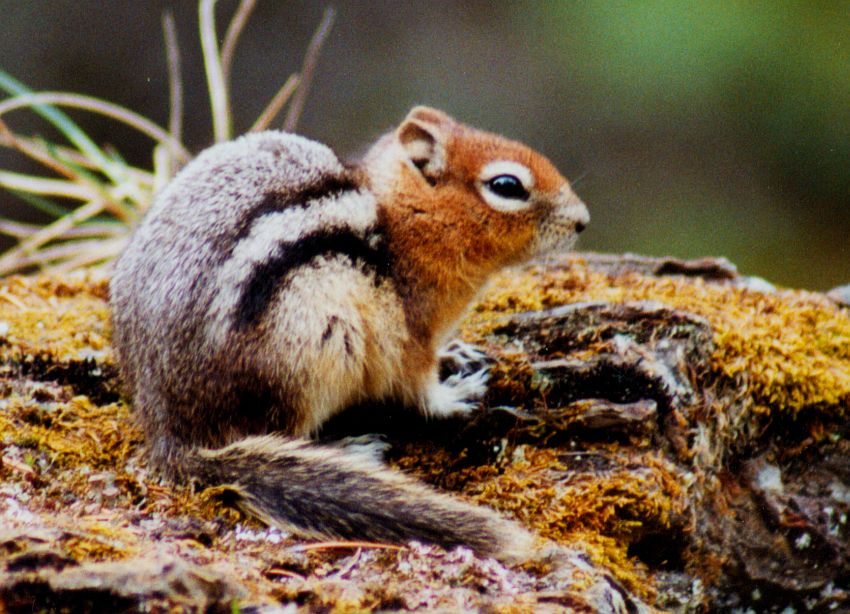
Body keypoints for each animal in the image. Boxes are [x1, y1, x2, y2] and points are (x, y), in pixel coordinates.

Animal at [109, 107, 588, 564]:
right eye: (506, 185)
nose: (582, 221)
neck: (407, 223)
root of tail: (170, 431)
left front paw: (458, 353)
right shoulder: (412, 333)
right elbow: (420, 388)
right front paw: (455, 395)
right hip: (311, 352)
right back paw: (351, 446)